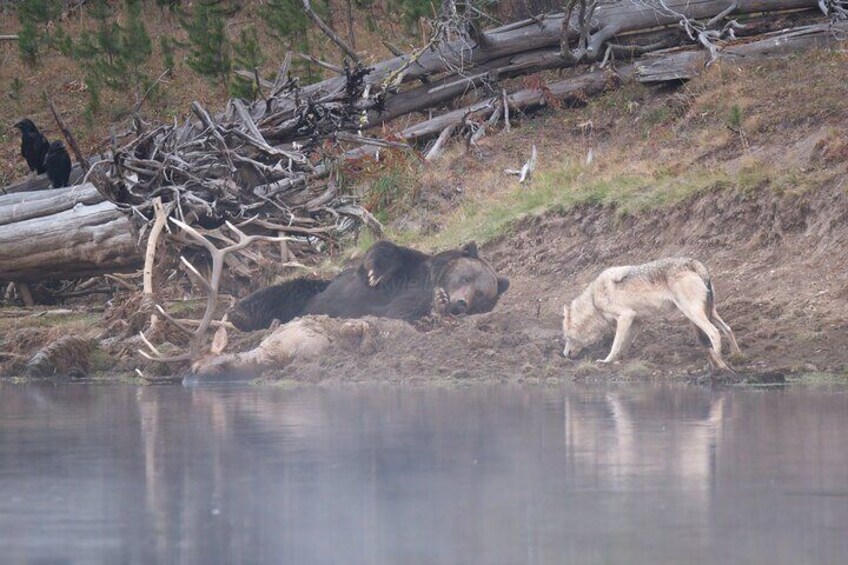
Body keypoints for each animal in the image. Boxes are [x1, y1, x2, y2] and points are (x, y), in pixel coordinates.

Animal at [229, 238, 506, 330]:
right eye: (466, 277)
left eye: (482, 296)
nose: (461, 303)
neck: (431, 280)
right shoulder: (413, 266)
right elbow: (385, 251)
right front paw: (375, 273)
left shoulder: (409, 301)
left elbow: (405, 310)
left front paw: (438, 305)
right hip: (310, 293)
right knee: (279, 293)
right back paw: (239, 314)